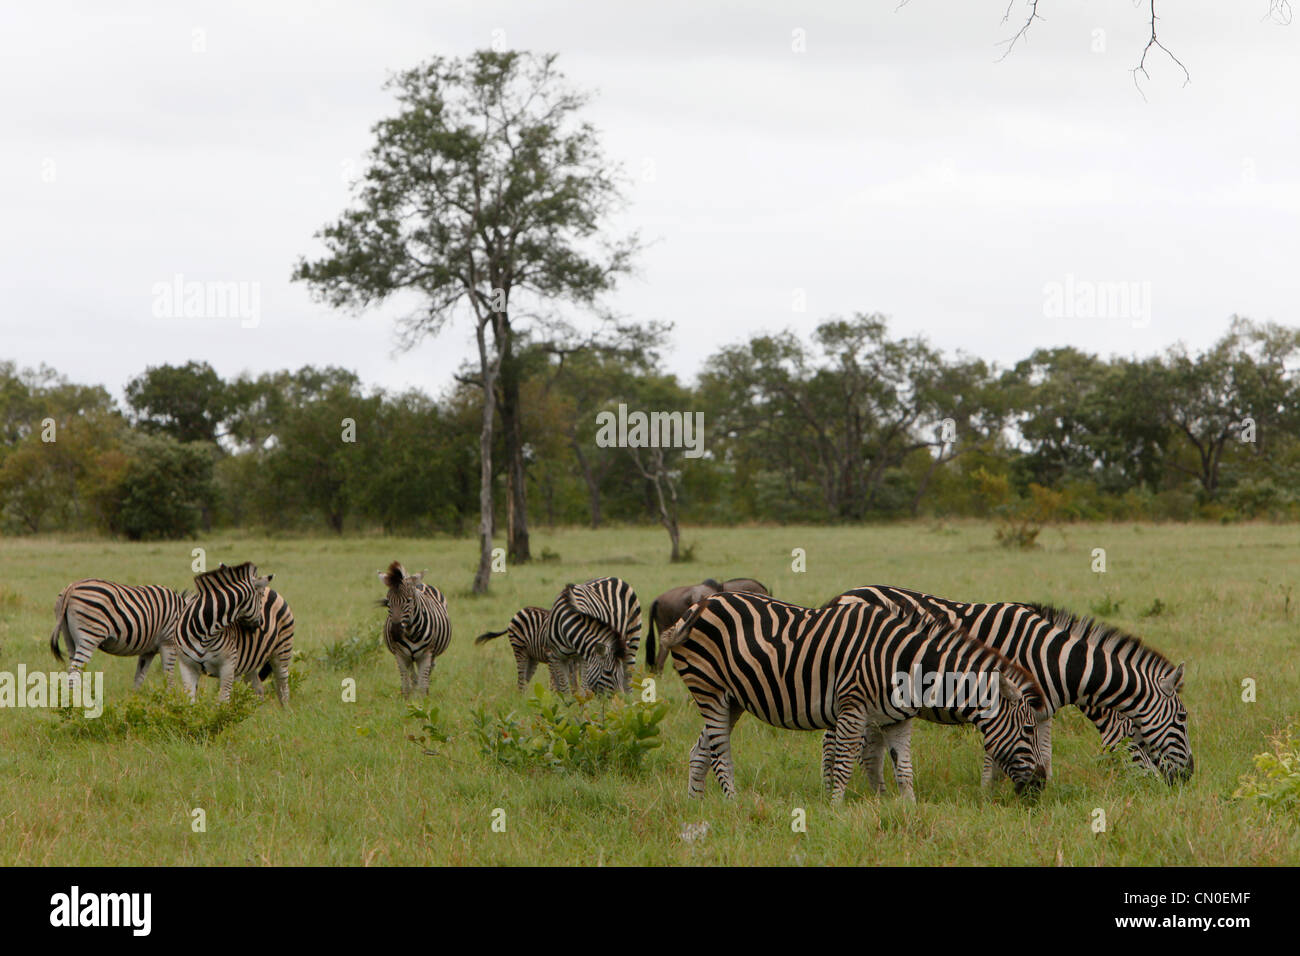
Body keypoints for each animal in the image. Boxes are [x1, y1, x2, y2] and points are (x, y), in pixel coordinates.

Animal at [49, 574, 185, 686]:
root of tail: (72, 587)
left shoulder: (148, 651)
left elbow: (139, 677)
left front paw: (134, 698)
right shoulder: (168, 642)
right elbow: (169, 677)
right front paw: (171, 699)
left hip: (68, 636)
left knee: (72, 669)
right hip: (89, 636)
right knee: (75, 671)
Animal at [175, 561, 287, 702]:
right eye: (261, 596)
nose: (260, 623)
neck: (204, 632)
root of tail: (271, 590)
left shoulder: (228, 666)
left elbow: (223, 700)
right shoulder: (186, 665)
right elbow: (189, 700)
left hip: (282, 652)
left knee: (283, 688)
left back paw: (286, 708)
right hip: (249, 663)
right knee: (258, 689)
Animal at [377, 561, 452, 697]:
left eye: (409, 600)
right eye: (388, 602)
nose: (395, 632)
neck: (411, 632)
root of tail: (421, 583)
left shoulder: (426, 655)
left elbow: (423, 683)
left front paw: (423, 700)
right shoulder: (400, 655)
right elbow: (406, 683)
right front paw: (407, 700)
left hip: (431, 654)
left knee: (427, 674)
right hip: (410, 657)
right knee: (413, 677)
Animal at [655, 590, 1050, 801]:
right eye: (1029, 730)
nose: (1041, 785)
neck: (905, 663)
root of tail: (700, 604)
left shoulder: (898, 720)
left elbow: (904, 769)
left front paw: (909, 810)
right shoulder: (851, 708)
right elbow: (844, 763)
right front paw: (835, 809)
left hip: (732, 699)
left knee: (701, 749)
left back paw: (697, 805)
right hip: (709, 690)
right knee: (720, 750)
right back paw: (733, 803)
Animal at [832, 587, 1190, 780]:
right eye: (1182, 720)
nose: (1185, 779)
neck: (1051, 658)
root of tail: (842, 596)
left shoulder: (1041, 712)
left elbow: (1043, 754)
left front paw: (1045, 787)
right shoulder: (1007, 701)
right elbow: (996, 755)